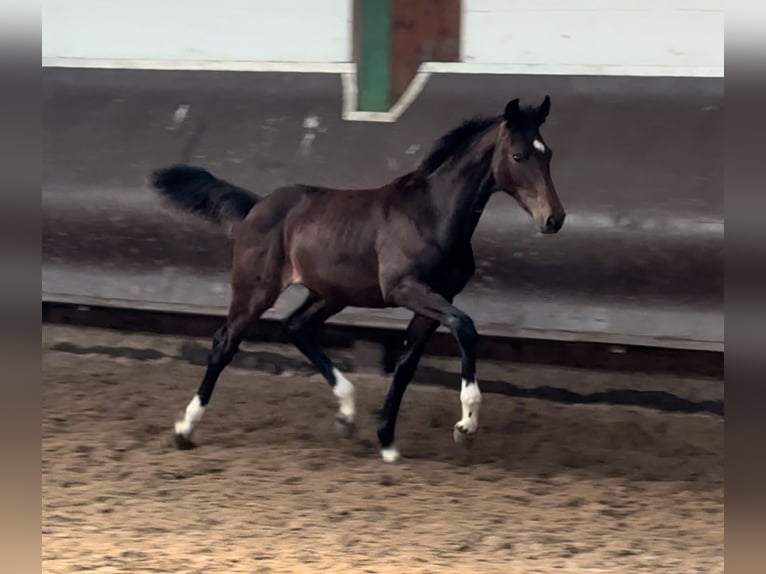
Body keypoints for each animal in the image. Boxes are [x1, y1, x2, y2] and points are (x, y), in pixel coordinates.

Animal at [153, 94, 568, 464]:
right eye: (518, 156)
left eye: (547, 153)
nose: (554, 218)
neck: (432, 213)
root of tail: (256, 206)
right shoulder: (405, 288)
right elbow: (464, 326)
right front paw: (466, 425)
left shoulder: (436, 298)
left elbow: (406, 365)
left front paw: (387, 441)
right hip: (257, 288)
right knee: (225, 343)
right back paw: (185, 429)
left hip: (331, 293)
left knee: (296, 326)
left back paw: (347, 414)